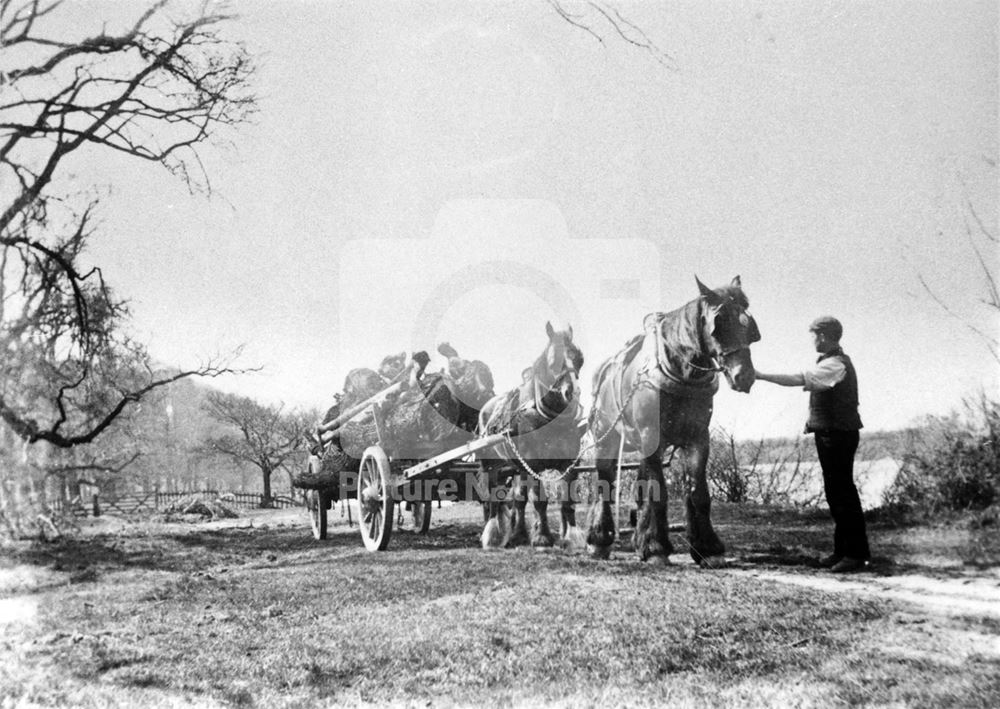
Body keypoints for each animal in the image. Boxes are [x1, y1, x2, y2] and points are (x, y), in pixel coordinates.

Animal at [478, 320, 584, 548]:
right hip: (490, 465)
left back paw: (518, 533)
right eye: (553, 361)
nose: (572, 392)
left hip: (514, 468)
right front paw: (543, 537)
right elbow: (540, 500)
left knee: (517, 499)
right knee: (492, 498)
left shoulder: (569, 464)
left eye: (580, 359)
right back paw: (492, 535)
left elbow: (567, 501)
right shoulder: (534, 465)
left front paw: (572, 537)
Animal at [584, 276, 756, 564]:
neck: (680, 373)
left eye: (749, 325)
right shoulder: (650, 437)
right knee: (603, 483)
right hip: (605, 440)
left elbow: (698, 493)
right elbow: (658, 493)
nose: (744, 376)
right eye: (718, 323)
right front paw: (656, 548)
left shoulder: (698, 438)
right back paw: (599, 540)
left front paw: (707, 548)